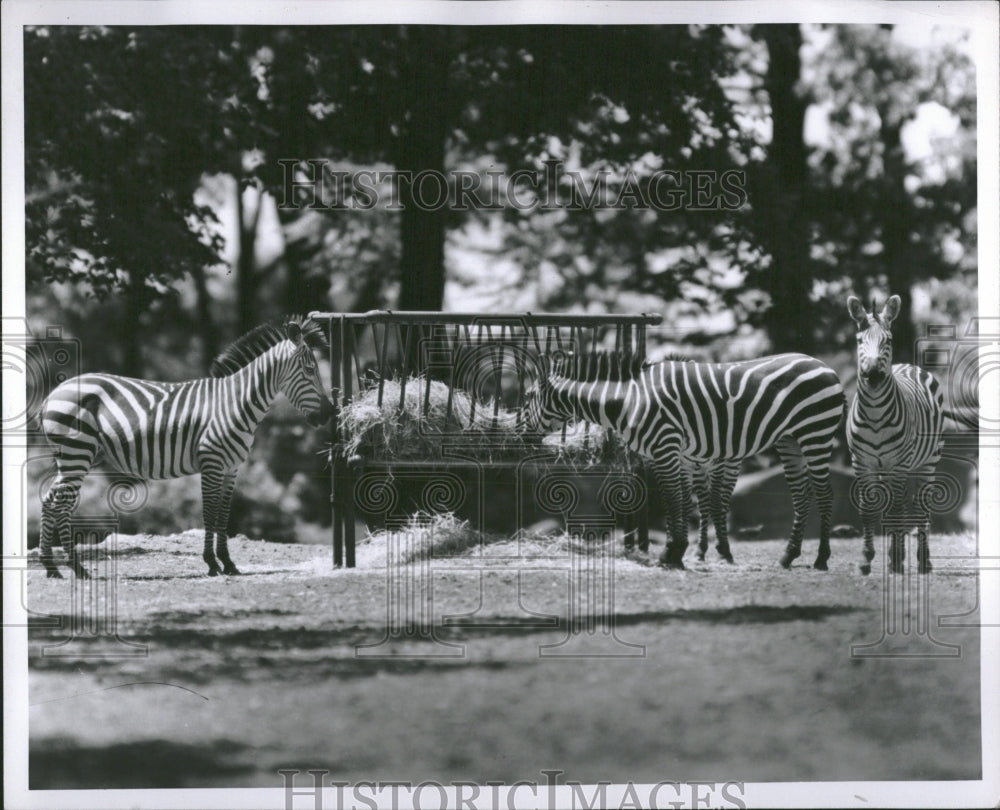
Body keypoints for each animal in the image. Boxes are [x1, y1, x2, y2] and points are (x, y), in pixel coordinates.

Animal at [36, 314, 332, 576]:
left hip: (75, 456)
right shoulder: (212, 462)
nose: (328, 415)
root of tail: (53, 394)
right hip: (76, 453)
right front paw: (212, 563)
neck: (235, 404)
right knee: (60, 504)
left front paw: (228, 563)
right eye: (310, 370)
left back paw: (54, 569)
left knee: (51, 501)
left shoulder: (232, 468)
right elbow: (209, 514)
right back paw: (76, 568)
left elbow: (223, 515)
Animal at [528, 348, 848, 568]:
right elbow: (679, 501)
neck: (629, 398)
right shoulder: (667, 454)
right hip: (789, 440)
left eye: (529, 395)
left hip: (815, 433)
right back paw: (788, 555)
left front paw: (674, 553)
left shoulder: (667, 446)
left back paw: (821, 559)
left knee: (825, 494)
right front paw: (679, 553)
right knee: (800, 495)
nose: (521, 431)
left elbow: (675, 499)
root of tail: (824, 366)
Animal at [848, 296, 940, 576]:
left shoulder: (898, 463)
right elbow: (868, 509)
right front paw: (866, 559)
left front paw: (898, 559)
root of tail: (908, 365)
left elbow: (897, 508)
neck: (875, 414)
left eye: (887, 340)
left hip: (928, 461)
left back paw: (923, 561)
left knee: (921, 507)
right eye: (859, 341)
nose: (873, 375)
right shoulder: (861, 462)